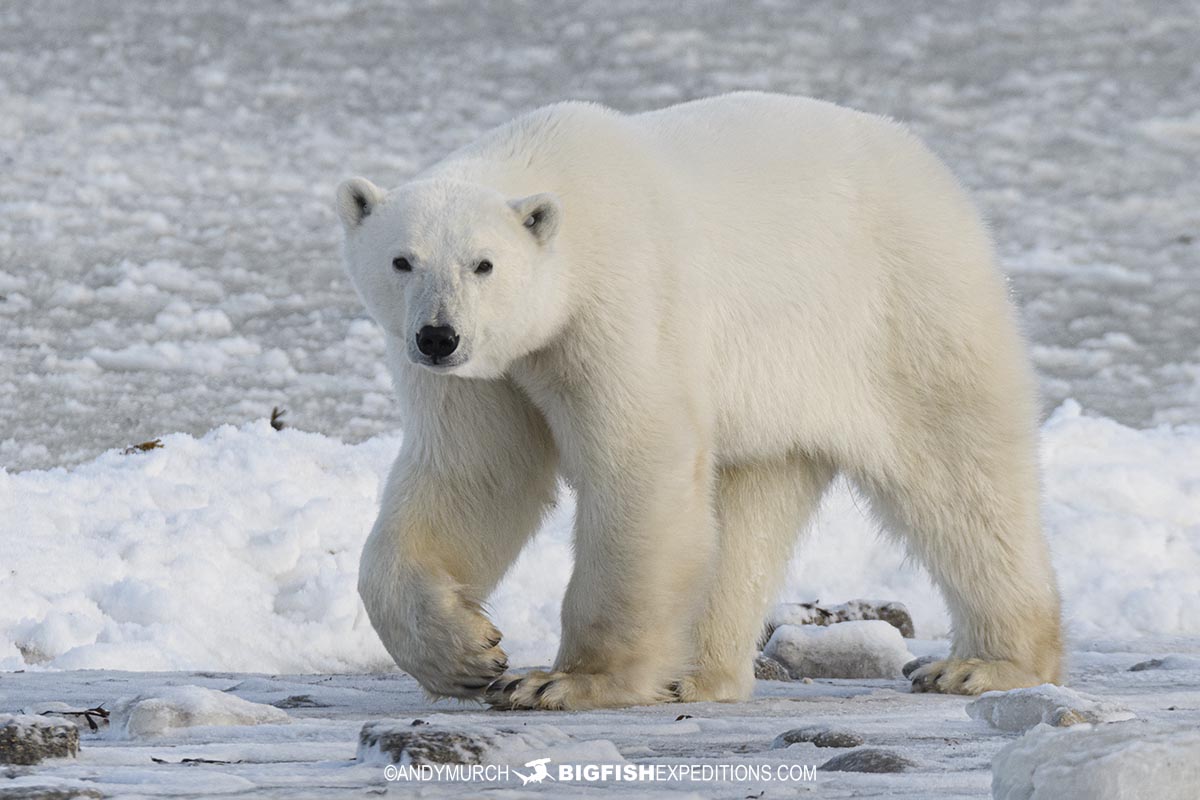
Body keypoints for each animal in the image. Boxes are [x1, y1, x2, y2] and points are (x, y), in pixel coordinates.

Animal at [337, 91, 1063, 711]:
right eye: (402, 260)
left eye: (483, 263)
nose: (439, 335)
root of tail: (933, 169)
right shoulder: (488, 375)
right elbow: (477, 475)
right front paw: (464, 654)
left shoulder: (623, 306)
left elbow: (639, 465)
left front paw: (562, 681)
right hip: (780, 393)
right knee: (748, 513)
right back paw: (693, 675)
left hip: (905, 313)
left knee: (959, 477)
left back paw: (984, 665)